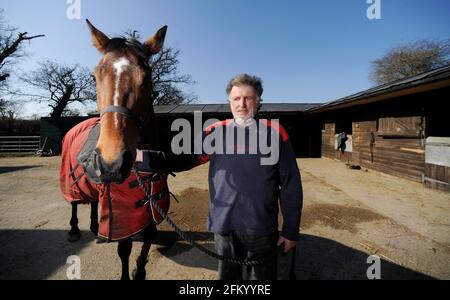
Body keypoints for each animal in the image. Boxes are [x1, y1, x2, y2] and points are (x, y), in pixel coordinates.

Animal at [60, 19, 170, 280]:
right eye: (94, 77)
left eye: (147, 77)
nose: (112, 162)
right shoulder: (122, 215)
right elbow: (125, 248)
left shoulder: (152, 206)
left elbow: (148, 238)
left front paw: (139, 272)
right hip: (71, 180)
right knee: (74, 201)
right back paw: (74, 229)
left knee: (91, 201)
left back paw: (93, 227)